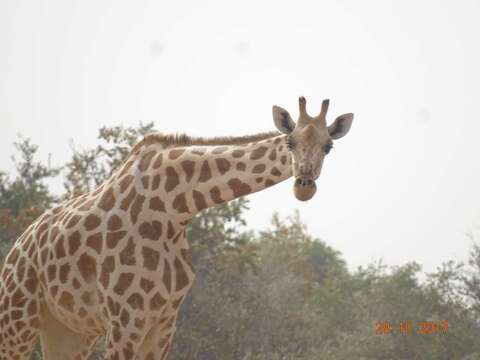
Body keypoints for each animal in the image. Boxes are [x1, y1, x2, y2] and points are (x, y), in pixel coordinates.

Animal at [0, 96, 352, 360]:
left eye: (329, 147)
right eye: (289, 141)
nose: (304, 184)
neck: (174, 209)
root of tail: (17, 245)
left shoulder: (164, 321)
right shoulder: (126, 319)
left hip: (68, 329)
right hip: (17, 317)